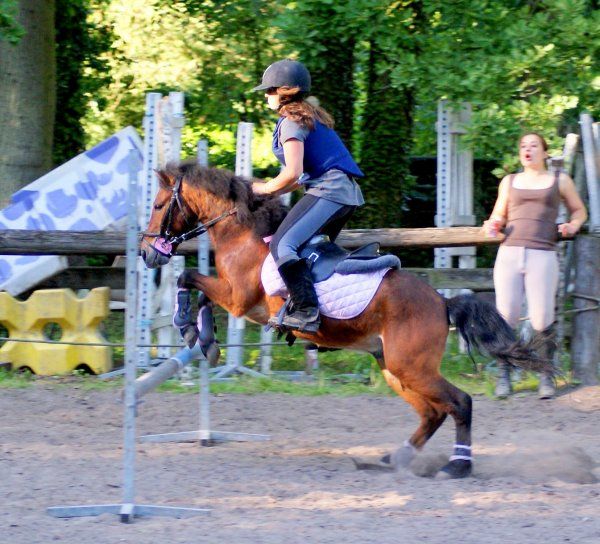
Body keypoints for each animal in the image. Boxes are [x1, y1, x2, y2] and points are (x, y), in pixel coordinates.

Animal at [140, 162, 553, 479]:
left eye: (159, 204)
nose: (146, 253)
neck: (244, 233)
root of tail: (442, 301)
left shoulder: (239, 298)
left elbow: (188, 278)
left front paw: (189, 326)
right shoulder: (236, 299)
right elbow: (199, 293)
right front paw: (204, 340)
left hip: (411, 367)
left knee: (460, 402)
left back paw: (457, 466)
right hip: (395, 369)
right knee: (434, 412)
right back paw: (395, 458)